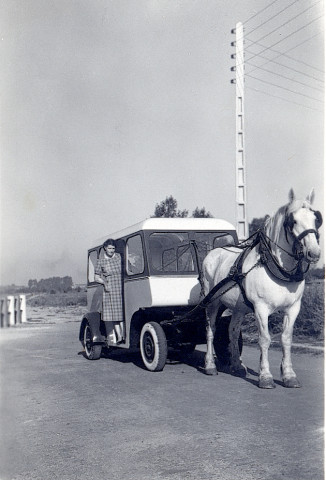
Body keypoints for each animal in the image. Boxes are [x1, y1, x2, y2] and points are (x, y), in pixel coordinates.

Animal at [202, 189, 322, 388]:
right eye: (293, 221)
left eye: (316, 219)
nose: (314, 253)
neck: (277, 268)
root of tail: (213, 252)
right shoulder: (261, 308)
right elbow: (265, 339)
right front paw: (265, 376)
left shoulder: (293, 308)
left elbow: (286, 339)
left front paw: (289, 375)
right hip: (212, 302)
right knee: (211, 330)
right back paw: (210, 365)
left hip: (239, 307)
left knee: (232, 331)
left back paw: (236, 366)